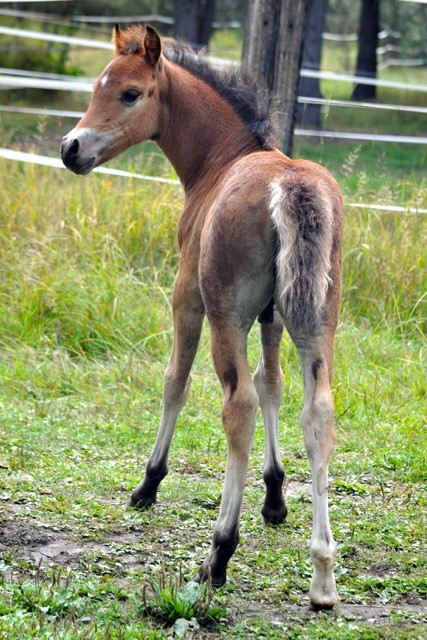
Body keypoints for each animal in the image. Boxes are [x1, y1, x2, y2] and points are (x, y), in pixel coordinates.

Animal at [61, 23, 344, 604]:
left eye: (130, 93)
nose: (69, 149)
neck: (219, 161)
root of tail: (291, 187)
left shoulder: (186, 297)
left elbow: (176, 381)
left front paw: (148, 483)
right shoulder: (272, 318)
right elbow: (273, 385)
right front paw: (275, 498)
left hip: (224, 314)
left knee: (237, 406)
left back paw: (218, 554)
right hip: (315, 318)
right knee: (317, 414)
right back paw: (323, 575)